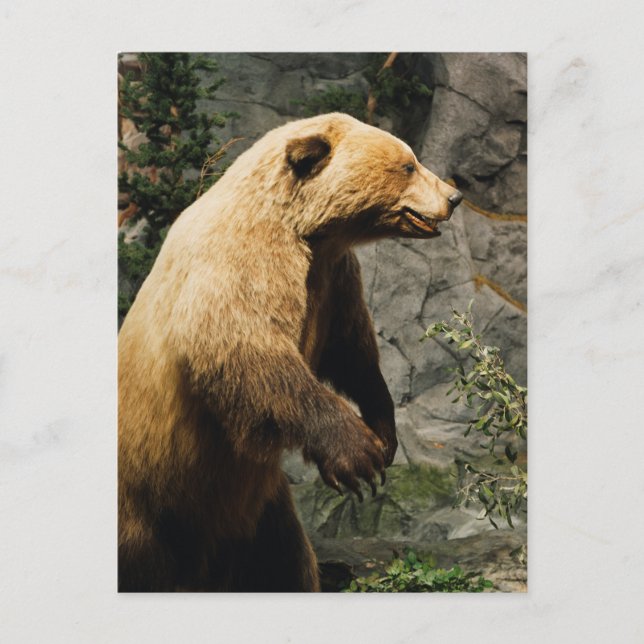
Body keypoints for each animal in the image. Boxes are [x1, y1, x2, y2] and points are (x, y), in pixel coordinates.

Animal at [118, 112, 462, 592]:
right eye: (408, 164)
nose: (454, 196)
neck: (308, 231)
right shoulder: (241, 262)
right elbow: (249, 351)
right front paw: (358, 454)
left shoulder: (334, 279)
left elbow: (352, 350)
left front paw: (383, 430)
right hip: (148, 501)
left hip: (258, 509)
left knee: (281, 559)